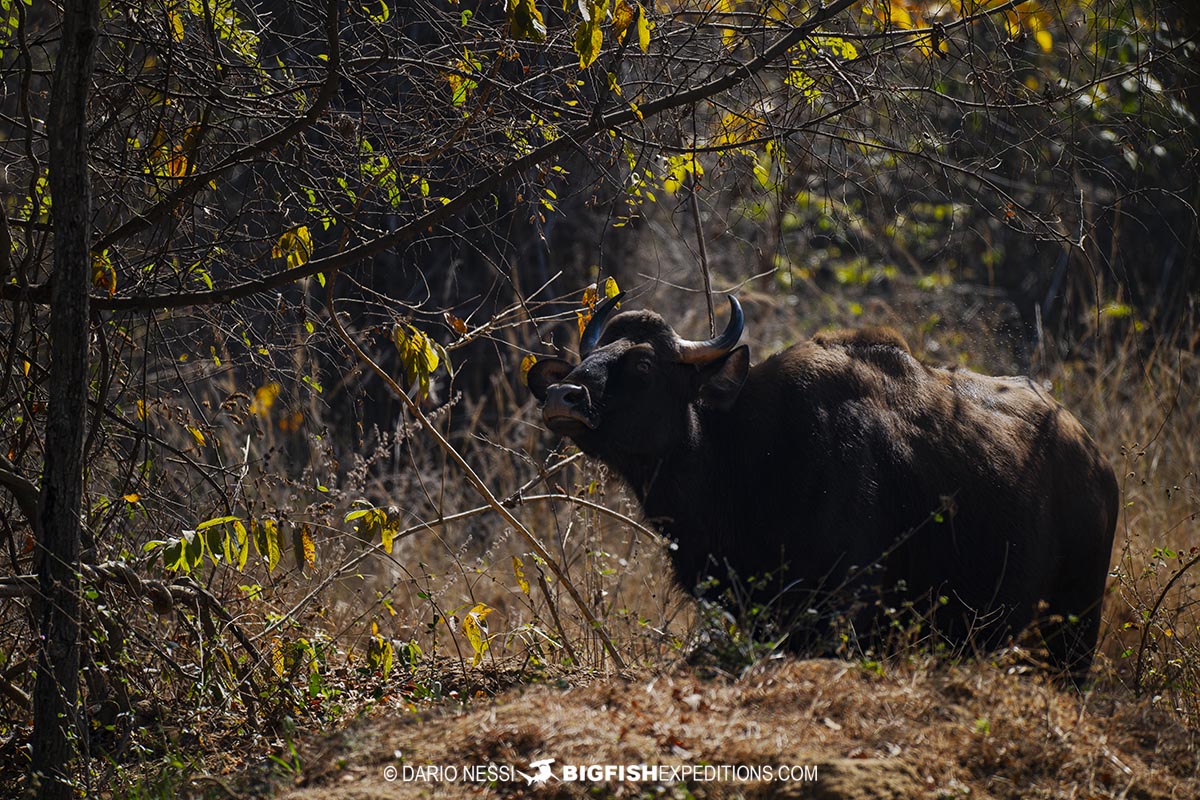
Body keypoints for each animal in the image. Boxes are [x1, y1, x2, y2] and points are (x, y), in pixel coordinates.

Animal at [528, 294, 1118, 675]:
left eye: (644, 364)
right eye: (587, 358)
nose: (561, 396)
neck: (750, 460)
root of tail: (1096, 460)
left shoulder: (840, 609)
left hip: (1076, 624)